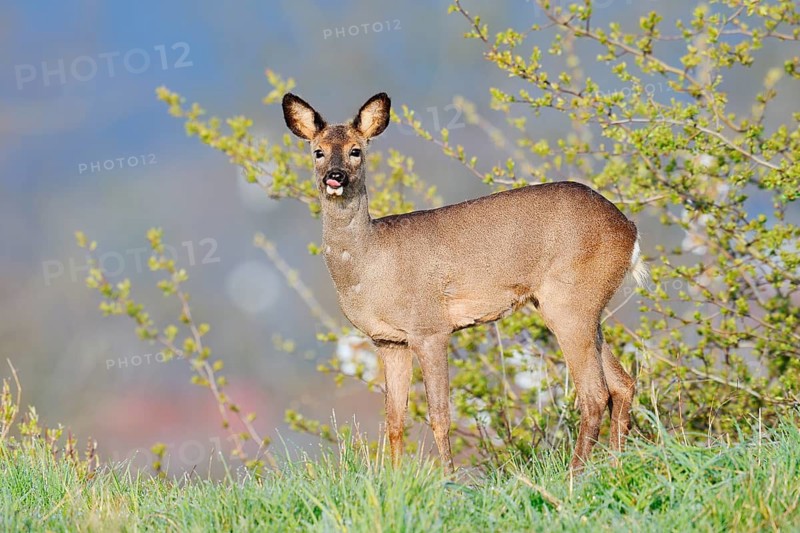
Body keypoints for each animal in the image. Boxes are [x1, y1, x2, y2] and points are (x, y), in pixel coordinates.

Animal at [282, 91, 647, 473]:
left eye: (356, 150)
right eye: (318, 151)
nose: (334, 177)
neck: (369, 266)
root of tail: (629, 229)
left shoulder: (430, 328)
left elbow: (439, 414)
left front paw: (449, 477)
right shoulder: (389, 340)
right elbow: (394, 419)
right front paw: (393, 479)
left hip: (569, 301)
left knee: (594, 393)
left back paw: (575, 474)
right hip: (585, 309)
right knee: (622, 384)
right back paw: (615, 465)